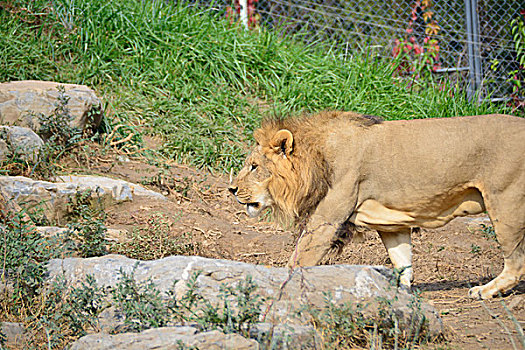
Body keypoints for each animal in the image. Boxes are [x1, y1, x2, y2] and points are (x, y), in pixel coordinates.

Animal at [230, 111, 524, 298]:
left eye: (254, 167)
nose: (231, 189)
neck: (316, 158)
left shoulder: (326, 220)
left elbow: (299, 259)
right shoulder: (392, 224)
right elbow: (402, 263)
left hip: (505, 202)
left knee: (516, 263)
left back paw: (485, 291)